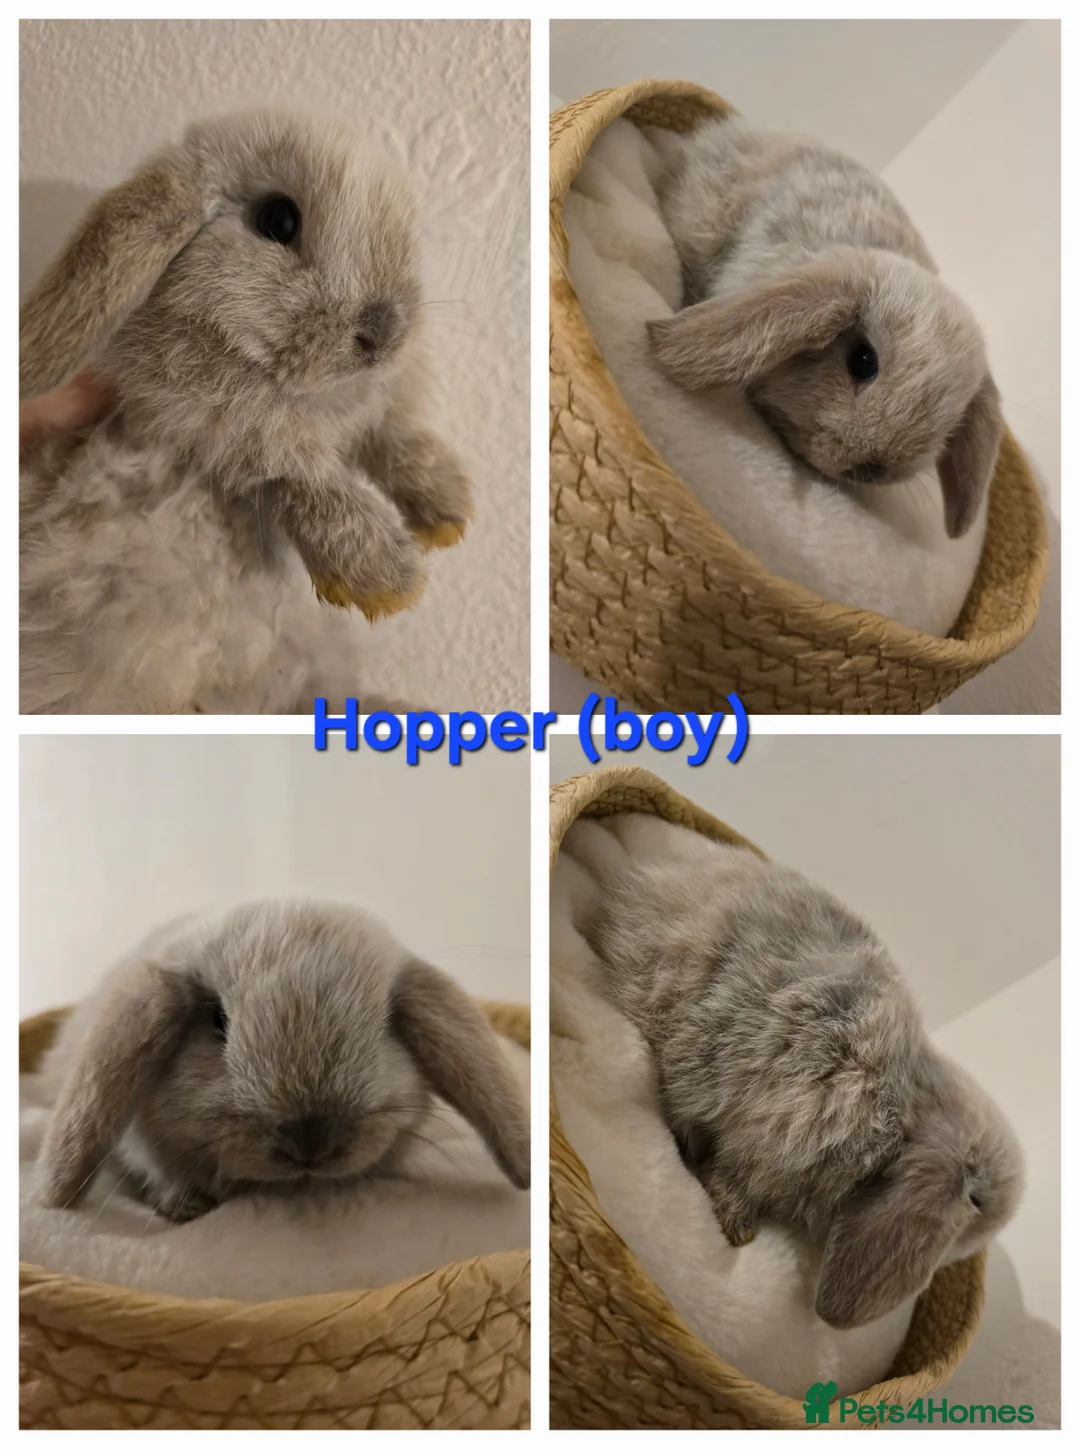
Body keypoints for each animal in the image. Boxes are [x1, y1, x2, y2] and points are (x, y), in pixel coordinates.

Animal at [19, 111, 473, 714]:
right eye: (277, 220)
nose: (384, 334)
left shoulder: (370, 414)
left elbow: (392, 437)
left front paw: (447, 510)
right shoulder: (208, 414)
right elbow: (296, 464)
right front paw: (387, 577)